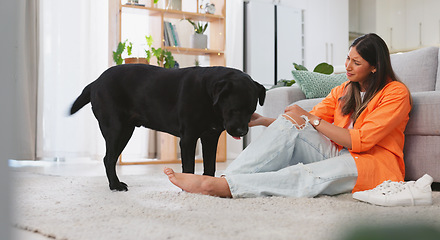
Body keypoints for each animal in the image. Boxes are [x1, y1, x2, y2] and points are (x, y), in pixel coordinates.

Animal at [70, 64, 266, 191]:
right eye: (234, 110)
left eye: (252, 111)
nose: (242, 132)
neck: (208, 96)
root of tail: (96, 82)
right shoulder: (188, 138)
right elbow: (189, 167)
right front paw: (189, 187)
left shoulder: (210, 137)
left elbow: (210, 165)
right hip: (116, 129)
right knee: (108, 159)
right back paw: (115, 185)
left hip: (125, 130)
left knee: (109, 158)